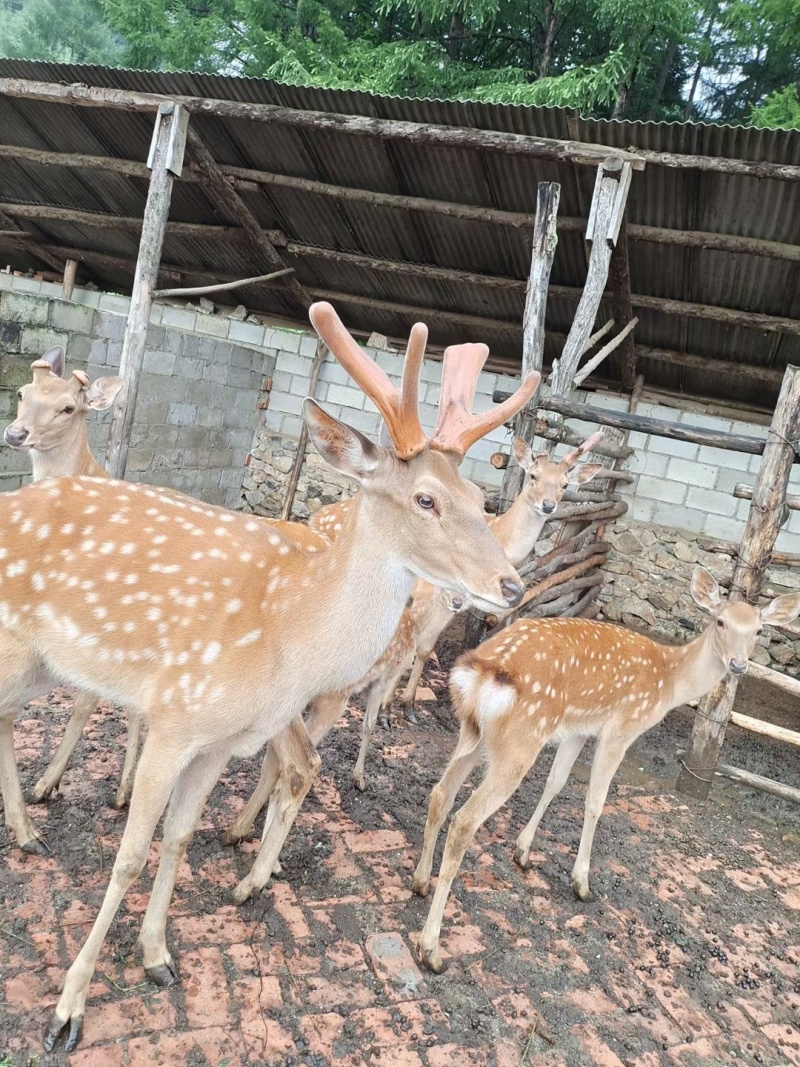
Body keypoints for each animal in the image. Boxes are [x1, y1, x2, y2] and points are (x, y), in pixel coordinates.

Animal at [411, 567, 800, 974]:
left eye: (758, 630)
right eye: (721, 621)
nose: (738, 664)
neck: (669, 683)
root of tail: (482, 670)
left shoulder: (579, 729)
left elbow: (556, 782)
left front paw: (523, 852)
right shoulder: (621, 728)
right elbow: (596, 802)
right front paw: (581, 883)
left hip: (472, 733)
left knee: (441, 794)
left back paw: (420, 881)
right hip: (520, 741)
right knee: (465, 820)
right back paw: (432, 948)